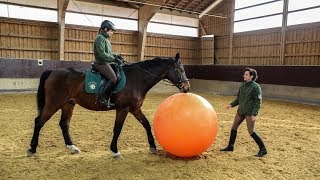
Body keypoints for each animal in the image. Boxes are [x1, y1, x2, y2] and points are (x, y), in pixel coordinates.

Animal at [26, 52, 190, 158]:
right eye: (181, 70)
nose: (187, 88)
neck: (137, 79)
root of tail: (53, 71)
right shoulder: (123, 109)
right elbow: (117, 129)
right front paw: (115, 151)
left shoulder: (135, 109)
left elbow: (147, 124)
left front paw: (153, 147)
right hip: (53, 104)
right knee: (39, 122)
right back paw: (32, 149)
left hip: (68, 104)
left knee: (64, 124)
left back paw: (72, 148)